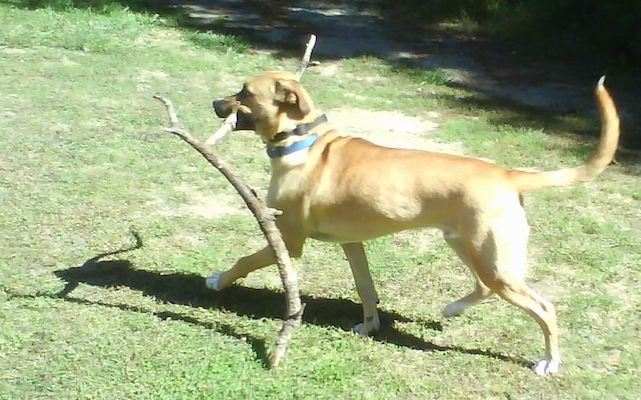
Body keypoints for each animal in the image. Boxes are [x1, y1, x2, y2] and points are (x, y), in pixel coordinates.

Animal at [208, 71, 616, 376]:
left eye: (245, 92)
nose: (214, 104)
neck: (303, 142)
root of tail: (509, 175)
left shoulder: (288, 240)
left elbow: (245, 261)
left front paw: (216, 281)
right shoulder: (351, 242)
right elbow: (365, 287)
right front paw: (369, 325)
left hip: (493, 260)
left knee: (543, 308)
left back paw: (549, 361)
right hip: (469, 246)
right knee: (483, 287)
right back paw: (452, 309)